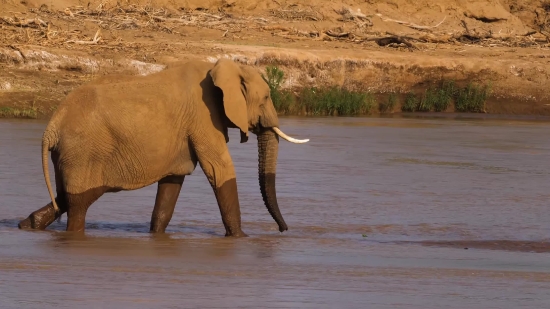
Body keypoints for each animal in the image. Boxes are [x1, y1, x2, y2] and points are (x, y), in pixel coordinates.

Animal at [18, 57, 310, 236]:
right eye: (267, 97)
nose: (283, 230)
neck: (220, 66)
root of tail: (52, 125)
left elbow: (172, 182)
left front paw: (156, 235)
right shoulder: (204, 117)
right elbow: (220, 170)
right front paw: (241, 238)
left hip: (69, 154)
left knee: (66, 197)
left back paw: (27, 225)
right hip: (83, 151)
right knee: (78, 204)